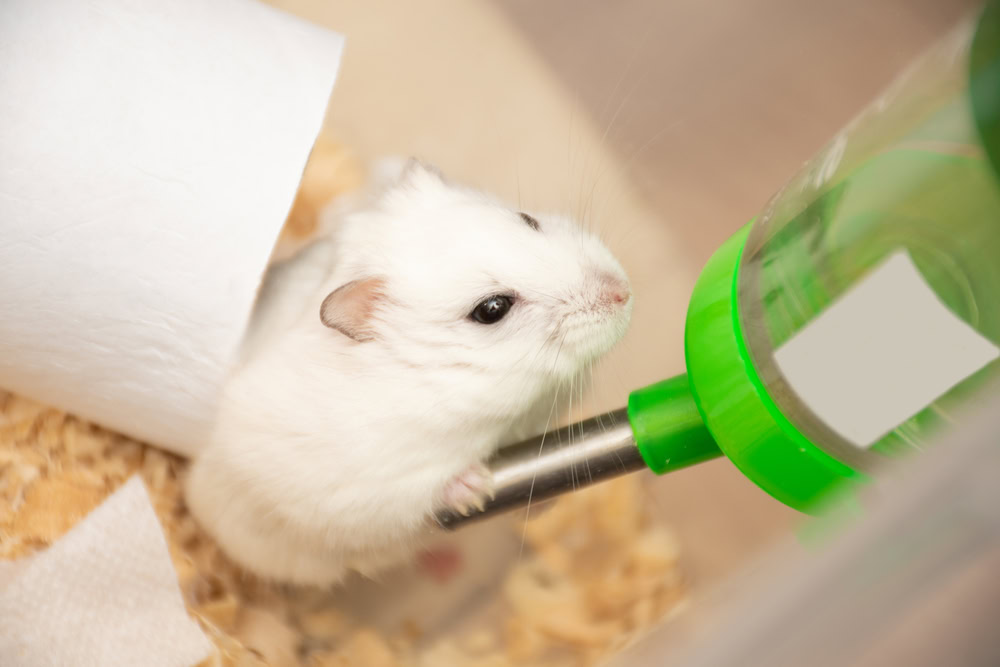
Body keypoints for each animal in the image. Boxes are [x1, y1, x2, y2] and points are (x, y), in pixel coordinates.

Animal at [184, 159, 632, 586]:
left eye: (528, 220)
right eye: (492, 309)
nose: (624, 293)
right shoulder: (357, 490)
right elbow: (412, 500)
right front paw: (474, 489)